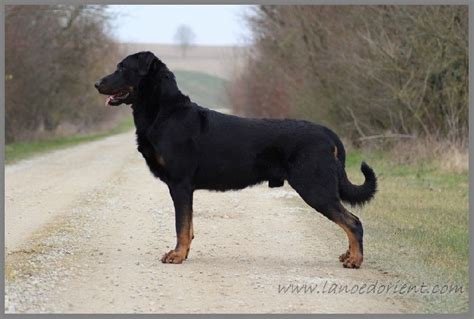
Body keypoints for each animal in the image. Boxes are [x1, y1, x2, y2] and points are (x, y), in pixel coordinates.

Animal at [95, 51, 378, 268]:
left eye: (122, 68)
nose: (97, 83)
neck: (164, 112)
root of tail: (327, 133)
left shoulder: (180, 184)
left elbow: (181, 226)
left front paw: (177, 255)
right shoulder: (184, 188)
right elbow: (188, 226)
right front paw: (183, 252)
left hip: (314, 187)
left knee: (353, 222)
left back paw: (355, 260)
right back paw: (348, 255)